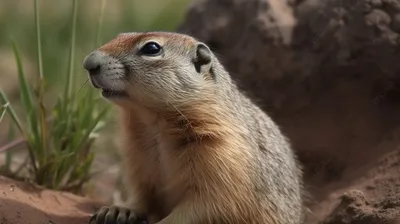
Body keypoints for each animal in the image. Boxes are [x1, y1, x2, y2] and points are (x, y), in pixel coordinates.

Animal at [83, 31, 304, 224]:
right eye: (119, 36)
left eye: (151, 48)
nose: (88, 63)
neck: (153, 122)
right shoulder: (138, 159)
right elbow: (142, 195)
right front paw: (117, 210)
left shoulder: (223, 158)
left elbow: (205, 206)